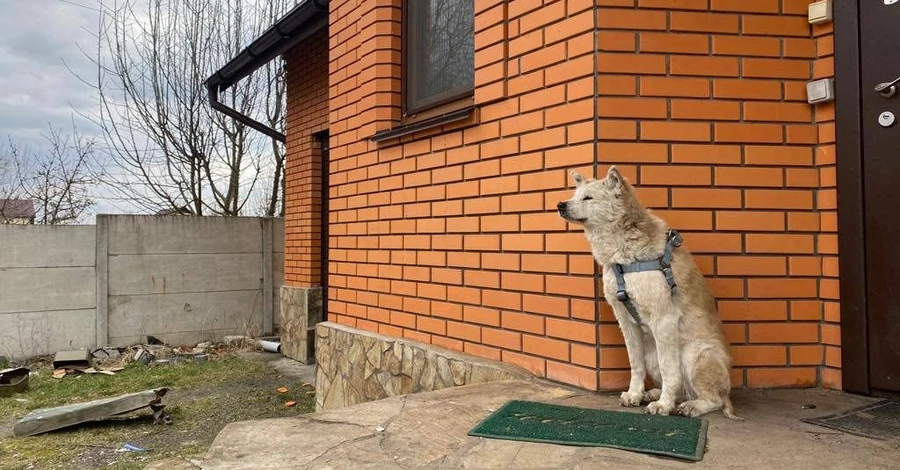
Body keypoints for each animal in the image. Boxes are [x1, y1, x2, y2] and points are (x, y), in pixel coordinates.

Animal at [560, 167, 740, 420]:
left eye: (588, 198)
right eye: (575, 196)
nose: (560, 205)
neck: (625, 258)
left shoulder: (663, 319)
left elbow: (669, 369)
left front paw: (663, 405)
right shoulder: (625, 320)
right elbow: (635, 363)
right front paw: (635, 394)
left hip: (696, 354)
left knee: (712, 398)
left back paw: (690, 406)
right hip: (653, 352)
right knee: (682, 389)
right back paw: (654, 393)